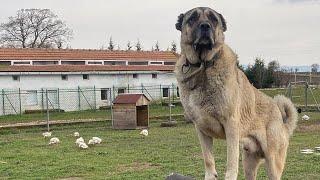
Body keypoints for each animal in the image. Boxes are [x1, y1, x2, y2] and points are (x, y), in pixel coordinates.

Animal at [175, 6, 298, 179]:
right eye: (192, 18)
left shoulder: (231, 126)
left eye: (213, 19)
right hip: (249, 163)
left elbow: (231, 163)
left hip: (273, 163)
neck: (203, 67)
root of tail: (282, 122)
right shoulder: (201, 130)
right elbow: (208, 160)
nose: (205, 26)